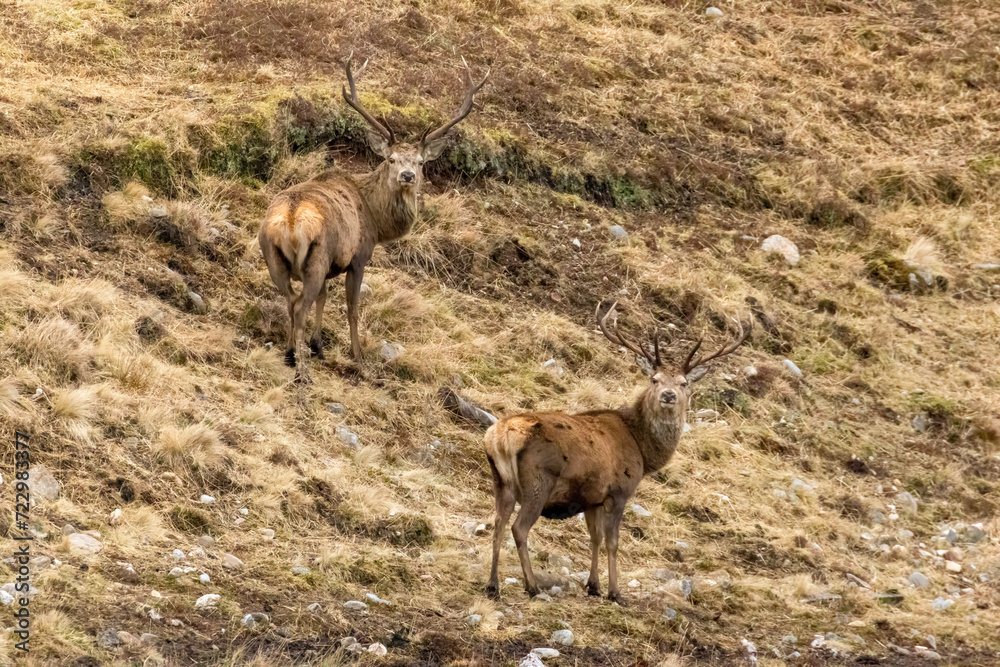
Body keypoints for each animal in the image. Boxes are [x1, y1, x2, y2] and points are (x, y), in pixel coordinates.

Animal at [259, 55, 488, 374]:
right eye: (390, 159)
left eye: (420, 162)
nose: (407, 176)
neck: (376, 221)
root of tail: (291, 221)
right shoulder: (358, 257)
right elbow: (352, 308)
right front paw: (358, 356)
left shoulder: (330, 266)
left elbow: (324, 298)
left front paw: (319, 346)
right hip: (316, 259)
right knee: (300, 304)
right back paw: (300, 365)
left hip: (273, 257)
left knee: (291, 299)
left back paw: (292, 352)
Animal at [484, 302, 751, 603]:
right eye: (654, 379)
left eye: (684, 383)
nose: (668, 395)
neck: (642, 450)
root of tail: (500, 437)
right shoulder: (619, 491)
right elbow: (612, 542)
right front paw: (615, 592)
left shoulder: (592, 498)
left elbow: (595, 538)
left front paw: (593, 585)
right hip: (539, 481)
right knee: (518, 528)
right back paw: (532, 586)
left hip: (500, 482)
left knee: (497, 523)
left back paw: (493, 585)